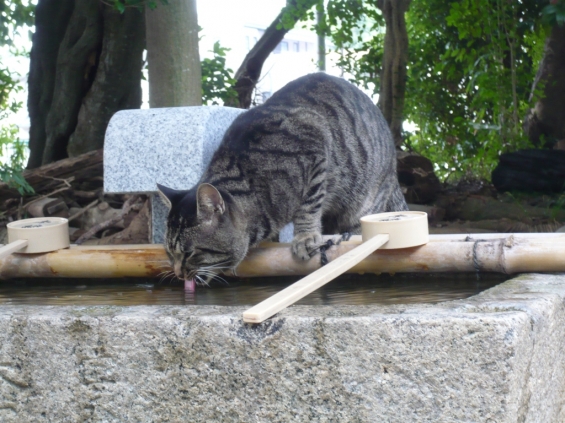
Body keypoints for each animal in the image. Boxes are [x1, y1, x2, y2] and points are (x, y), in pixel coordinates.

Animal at [158, 73, 406, 284]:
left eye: (189, 253)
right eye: (169, 253)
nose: (177, 273)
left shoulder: (315, 142)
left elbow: (309, 205)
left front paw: (305, 238)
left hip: (364, 199)